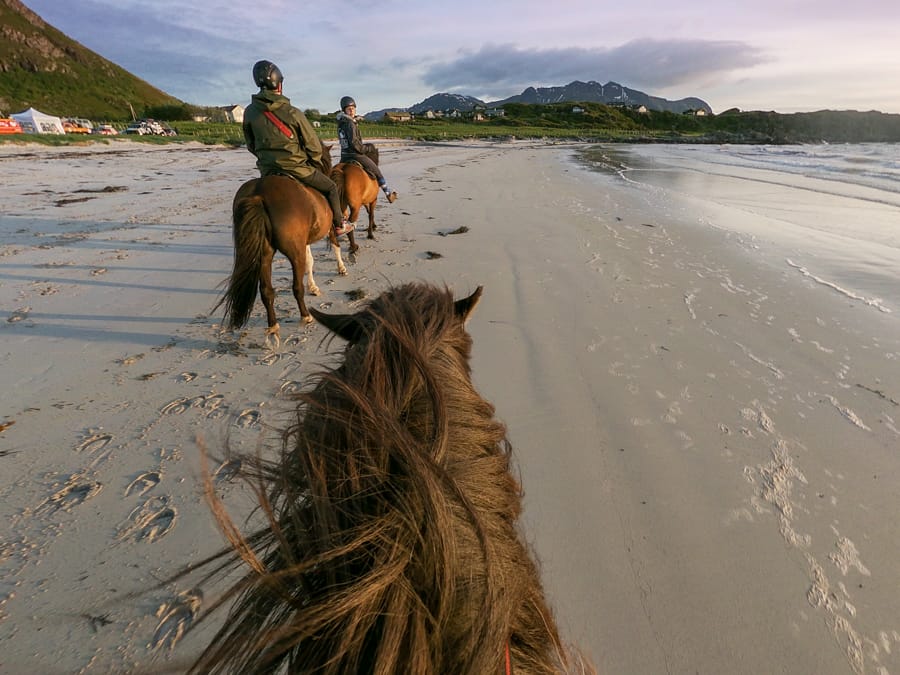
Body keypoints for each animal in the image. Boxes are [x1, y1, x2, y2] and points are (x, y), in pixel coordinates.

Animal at [217, 149, 358, 348]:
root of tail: (259, 194)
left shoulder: (303, 241)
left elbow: (310, 261)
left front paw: (314, 287)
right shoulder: (329, 228)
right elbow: (335, 247)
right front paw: (342, 269)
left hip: (264, 254)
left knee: (267, 290)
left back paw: (273, 328)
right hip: (294, 252)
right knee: (296, 286)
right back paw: (306, 316)